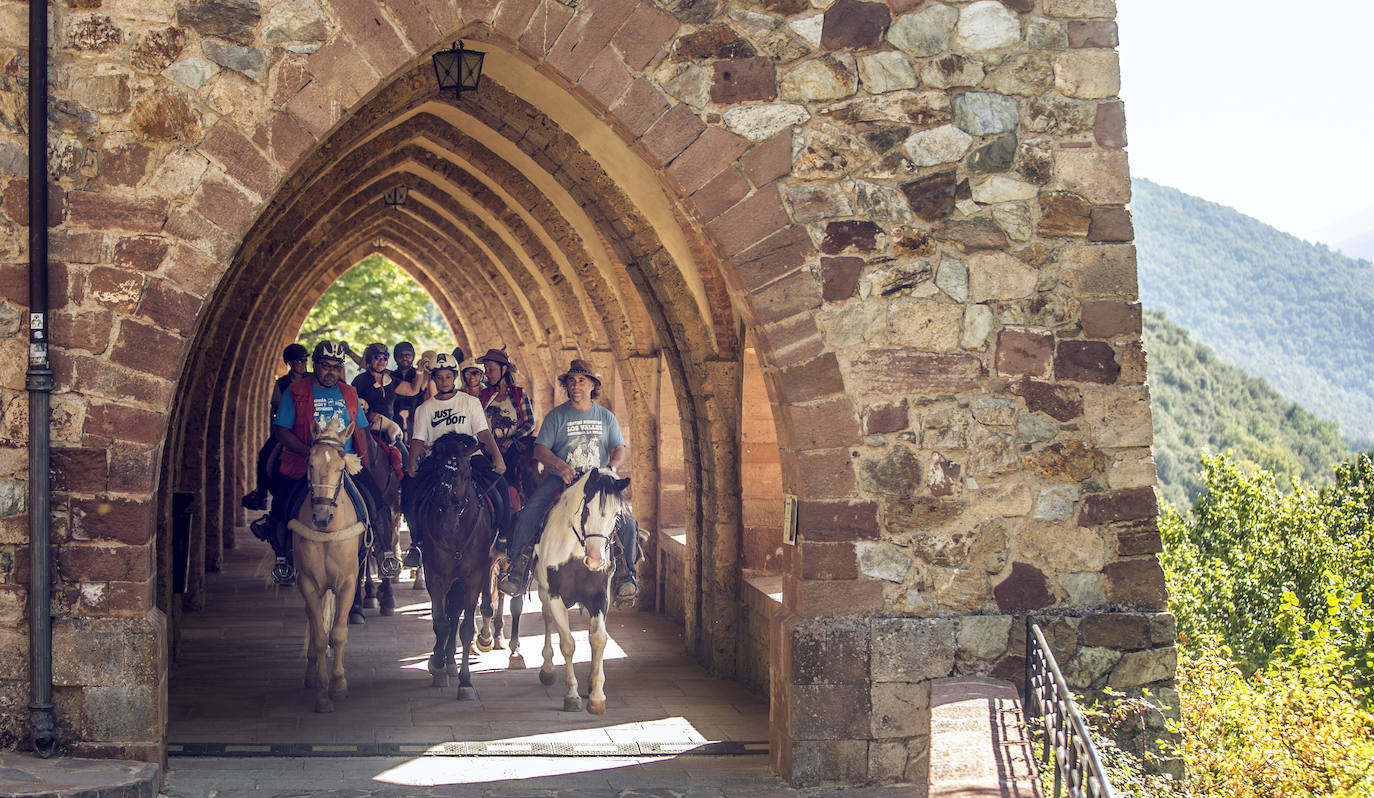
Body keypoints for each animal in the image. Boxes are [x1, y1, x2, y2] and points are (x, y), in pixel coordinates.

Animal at [289, 414, 368, 714]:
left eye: (341, 466)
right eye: (310, 464)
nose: (321, 516)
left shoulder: (347, 582)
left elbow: (339, 632)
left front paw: (338, 684)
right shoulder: (308, 583)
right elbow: (321, 636)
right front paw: (322, 694)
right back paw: (312, 672)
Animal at [412, 428, 494, 697]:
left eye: (466, 474)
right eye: (438, 473)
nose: (448, 524)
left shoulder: (473, 577)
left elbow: (464, 627)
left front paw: (465, 681)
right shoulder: (436, 575)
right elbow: (441, 623)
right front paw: (437, 664)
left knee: (456, 614)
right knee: (448, 617)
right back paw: (444, 662)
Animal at [533, 464, 629, 714]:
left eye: (617, 514)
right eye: (587, 509)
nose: (596, 559)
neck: (575, 554)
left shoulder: (599, 597)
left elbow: (598, 638)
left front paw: (597, 696)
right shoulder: (554, 595)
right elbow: (567, 643)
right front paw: (572, 696)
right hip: (543, 591)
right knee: (547, 618)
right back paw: (547, 669)